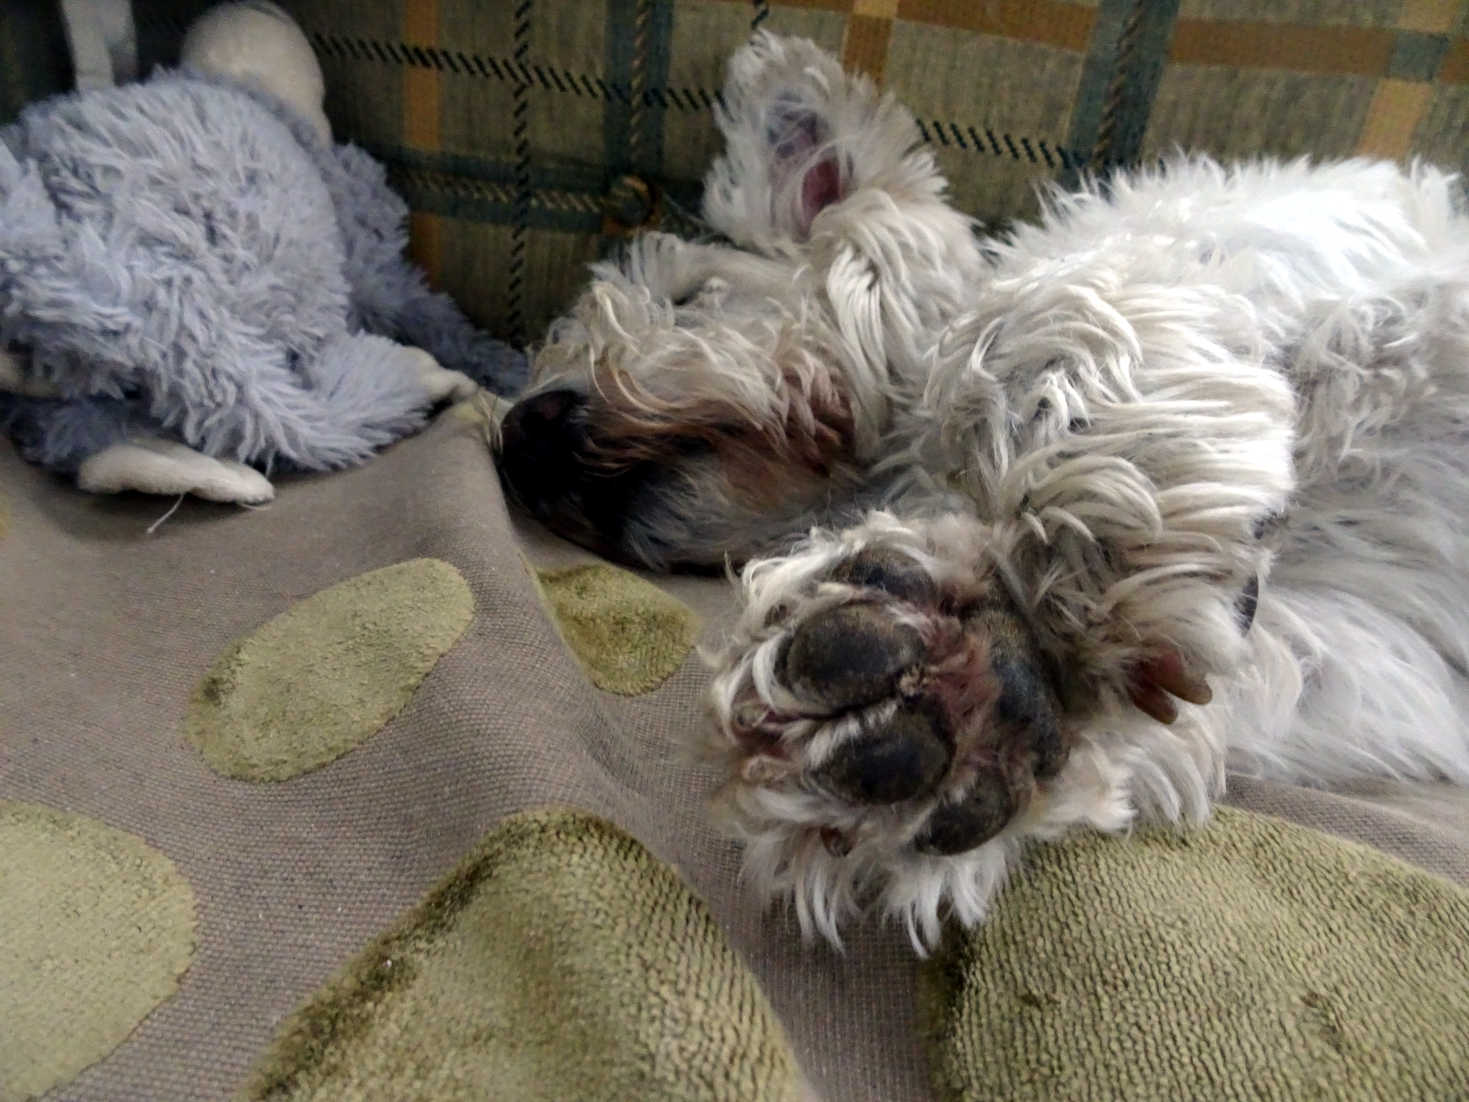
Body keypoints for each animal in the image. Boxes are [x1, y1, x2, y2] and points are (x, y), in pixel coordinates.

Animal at [499, 32, 1469, 952]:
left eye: (689, 296)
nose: (520, 438)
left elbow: (1019, 324)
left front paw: (1100, 509)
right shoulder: (1373, 649)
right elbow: (1242, 665)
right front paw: (990, 675)